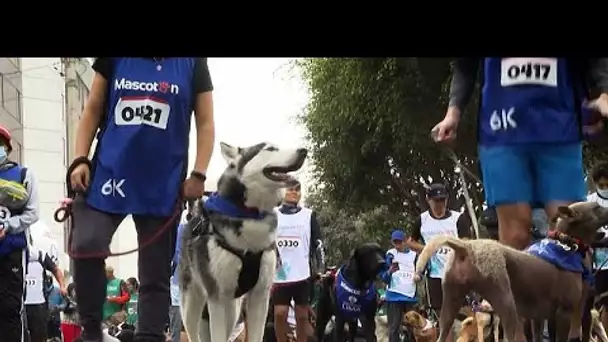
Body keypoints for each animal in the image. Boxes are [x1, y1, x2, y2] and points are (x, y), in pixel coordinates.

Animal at [178, 140, 306, 342]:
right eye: (270, 149)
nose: (304, 151)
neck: (250, 214)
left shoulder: (260, 296)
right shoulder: (217, 298)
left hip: (233, 309)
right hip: (191, 306)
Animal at [410, 202, 608, 342]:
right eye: (597, 208)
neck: (565, 244)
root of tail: (467, 246)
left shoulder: (537, 318)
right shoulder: (564, 313)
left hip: (449, 304)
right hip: (505, 300)